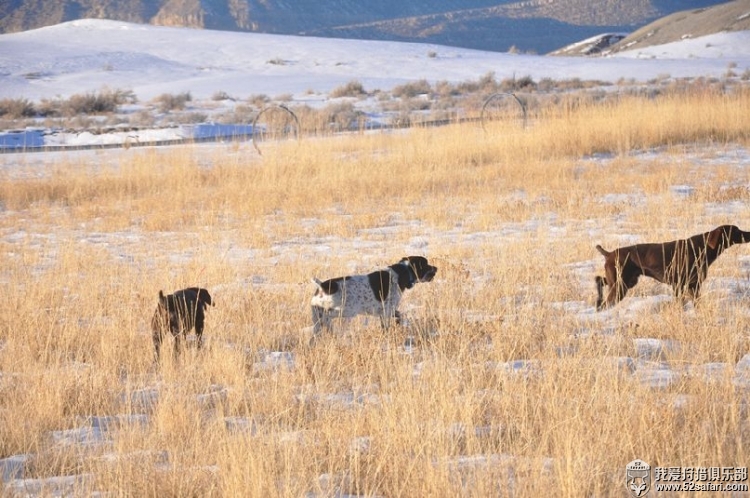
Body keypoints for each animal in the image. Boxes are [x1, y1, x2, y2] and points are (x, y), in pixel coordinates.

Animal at [312, 256, 440, 334]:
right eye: (426, 264)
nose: (436, 268)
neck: (401, 273)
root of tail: (322, 286)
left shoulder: (386, 311)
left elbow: (399, 316)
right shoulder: (387, 310)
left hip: (317, 317)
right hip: (346, 311)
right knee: (327, 317)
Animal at [600, 225, 750, 310]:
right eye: (736, 230)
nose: (749, 233)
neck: (702, 248)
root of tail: (609, 254)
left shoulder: (694, 285)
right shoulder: (678, 284)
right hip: (619, 286)